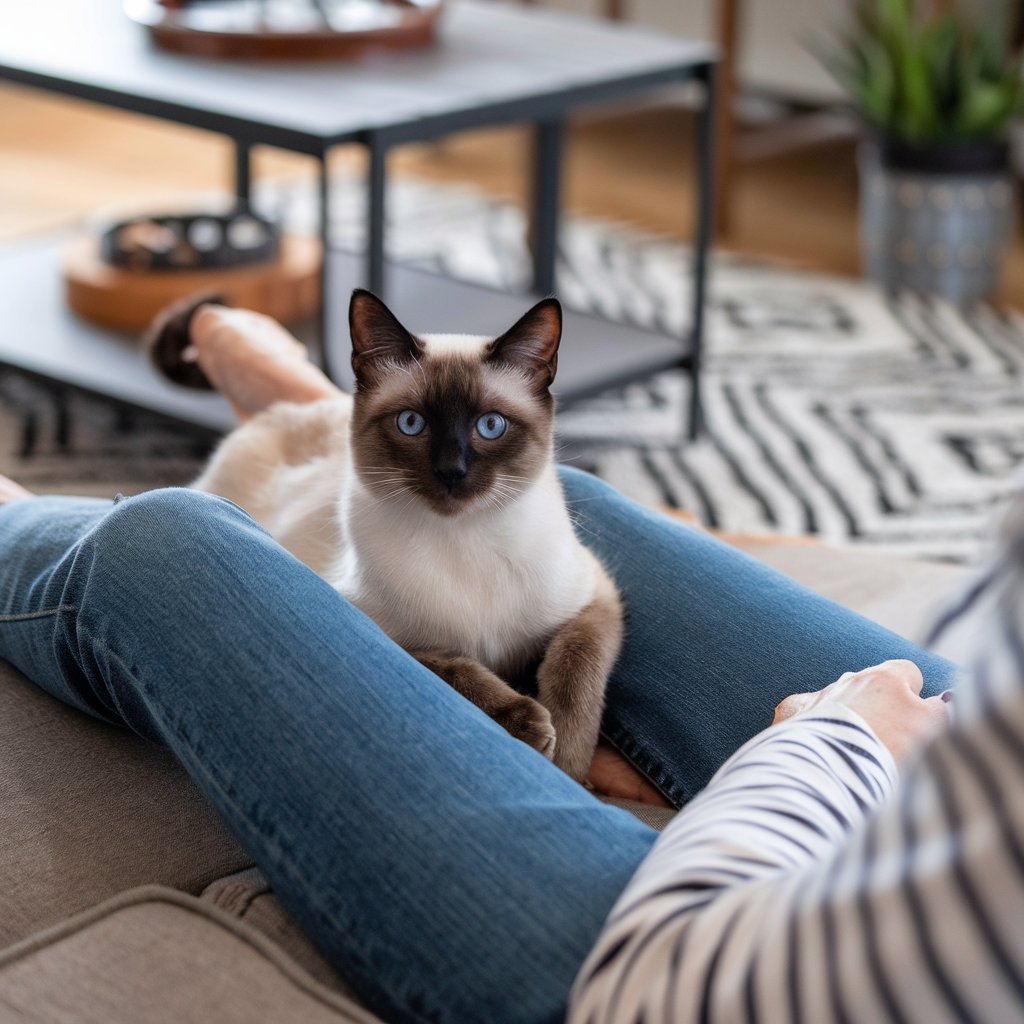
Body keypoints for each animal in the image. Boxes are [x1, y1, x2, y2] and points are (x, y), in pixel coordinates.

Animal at [160, 292, 622, 778]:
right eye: (411, 424)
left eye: (491, 426)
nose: (451, 472)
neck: (464, 538)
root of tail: (277, 412)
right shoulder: (371, 625)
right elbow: (447, 665)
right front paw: (528, 725)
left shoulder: (597, 596)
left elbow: (575, 667)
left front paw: (568, 760)